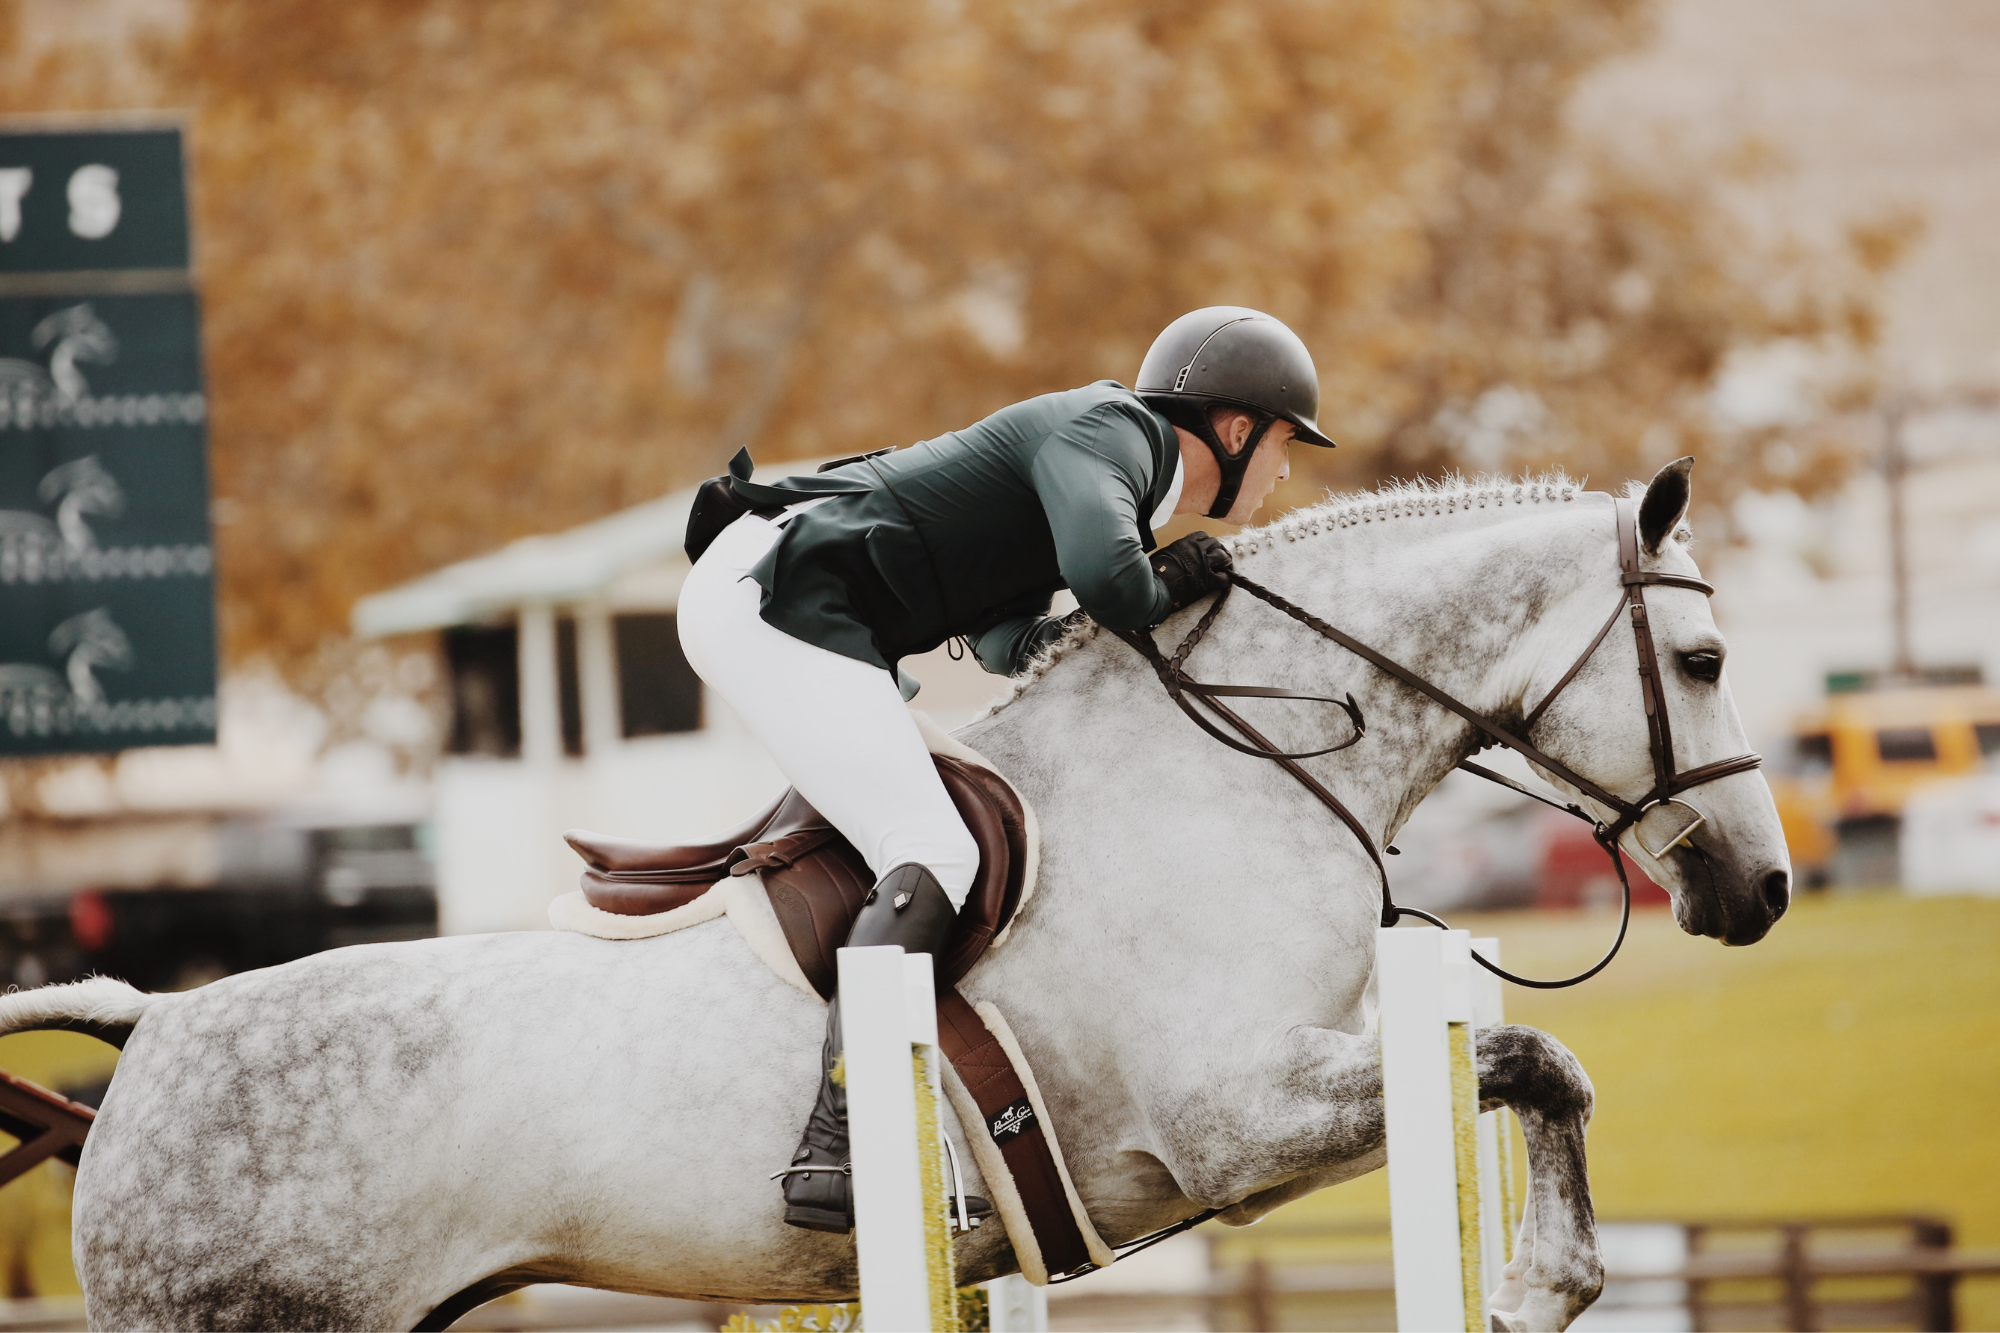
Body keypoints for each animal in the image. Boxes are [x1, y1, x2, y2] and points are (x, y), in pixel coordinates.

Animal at [0, 460, 1789, 1333]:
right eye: (1704, 659)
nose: (1762, 890)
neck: (1230, 772)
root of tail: (150, 1026)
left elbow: (1538, 1067)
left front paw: (1548, 1279)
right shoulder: (1234, 1118)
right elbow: (1536, 1059)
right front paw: (1547, 1282)